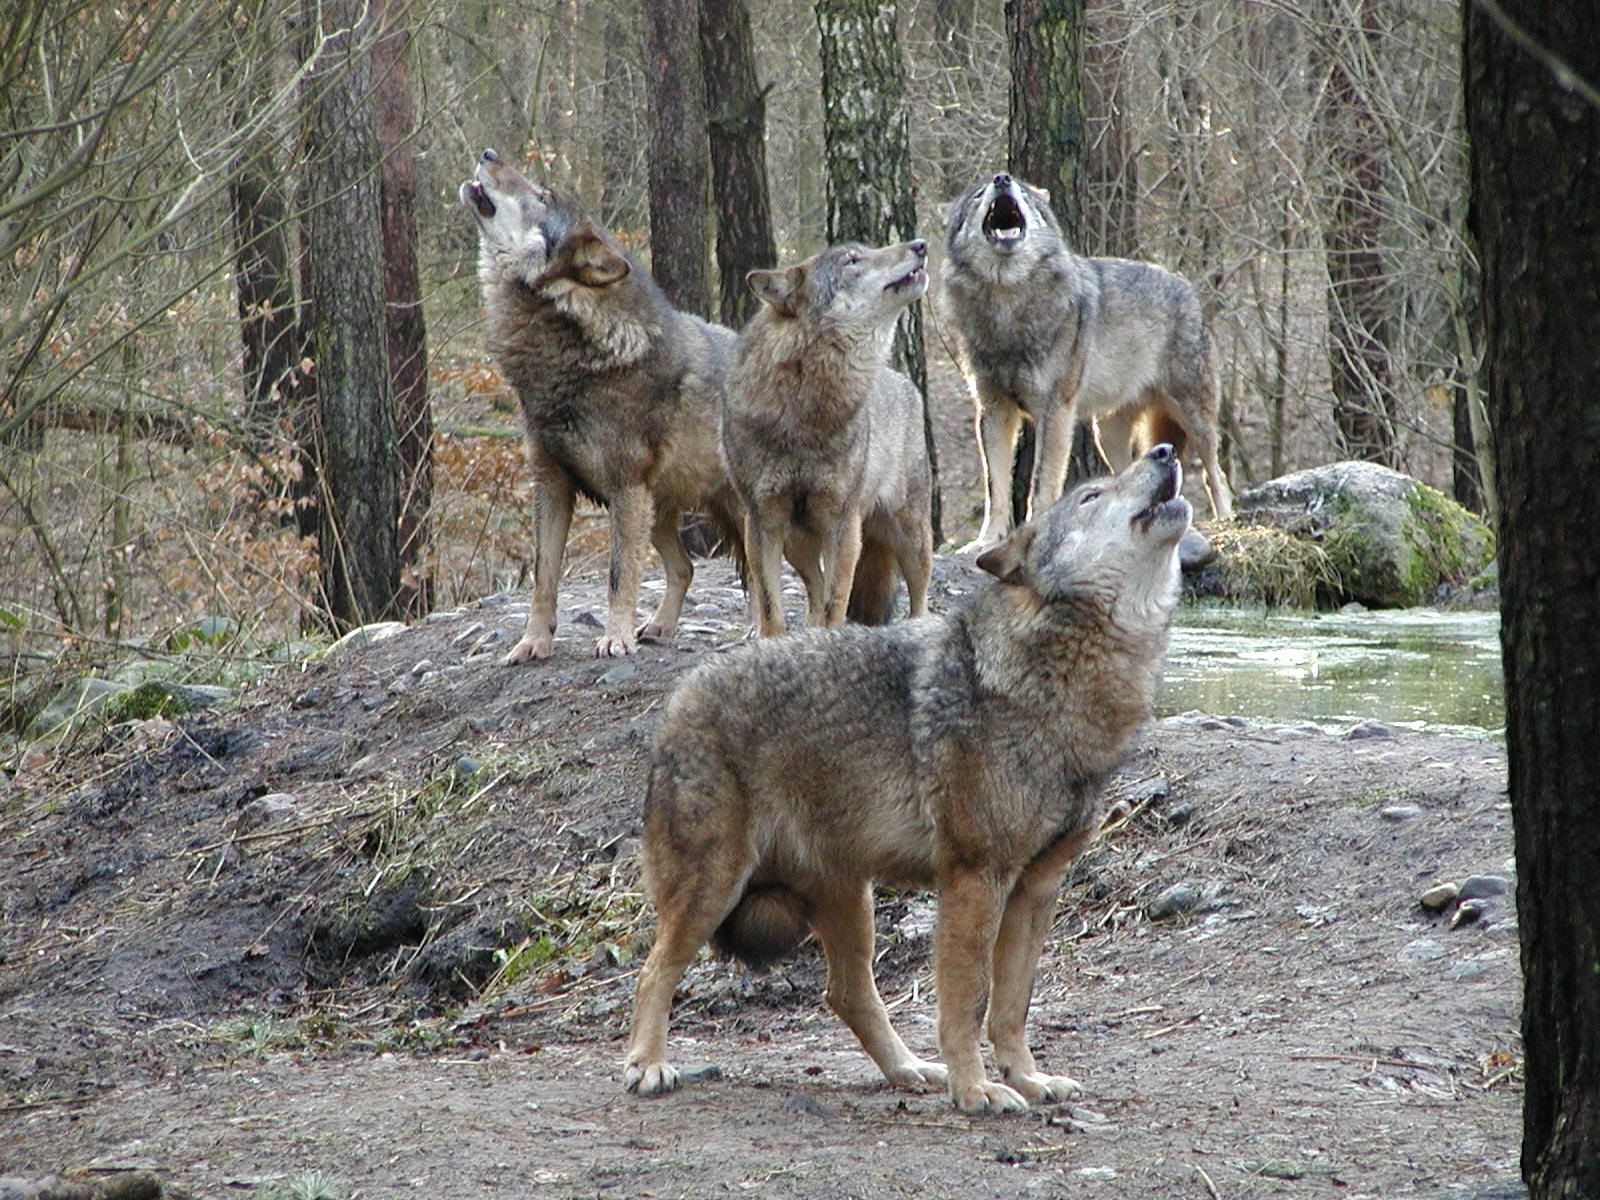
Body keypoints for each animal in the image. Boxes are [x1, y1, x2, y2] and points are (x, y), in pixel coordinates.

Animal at [460, 148, 739, 668]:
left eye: (542, 196)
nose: (488, 153)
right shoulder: (551, 484)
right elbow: (544, 576)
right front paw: (533, 642)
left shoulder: (625, 488)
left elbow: (616, 575)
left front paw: (616, 638)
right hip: (658, 512)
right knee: (685, 568)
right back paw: (660, 628)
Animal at [620, 444, 1190, 1120]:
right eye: (1092, 496)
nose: (1165, 452)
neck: (1060, 682)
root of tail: (679, 698)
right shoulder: (974, 880)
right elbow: (966, 1005)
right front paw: (975, 1090)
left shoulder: (1036, 890)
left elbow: (1011, 1010)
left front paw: (1026, 1080)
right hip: (714, 889)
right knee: (654, 971)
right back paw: (647, 1065)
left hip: (851, 901)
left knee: (845, 993)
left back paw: (909, 1071)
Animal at [720, 241, 934, 640]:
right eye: (853, 260)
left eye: (866, 251)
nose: (920, 244)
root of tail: (904, 381)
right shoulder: (762, 521)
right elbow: (772, 607)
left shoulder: (843, 522)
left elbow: (838, 601)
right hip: (797, 543)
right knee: (815, 588)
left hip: (910, 535)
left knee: (919, 594)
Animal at [934, 171, 1235, 547]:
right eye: (978, 195)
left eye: (1024, 193)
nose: (1002, 178)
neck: (1007, 302)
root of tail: (1189, 288)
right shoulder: (994, 410)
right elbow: (995, 488)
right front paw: (987, 541)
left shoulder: (1055, 411)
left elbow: (1040, 484)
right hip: (1105, 434)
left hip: (1193, 417)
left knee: (1216, 474)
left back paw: (1225, 518)